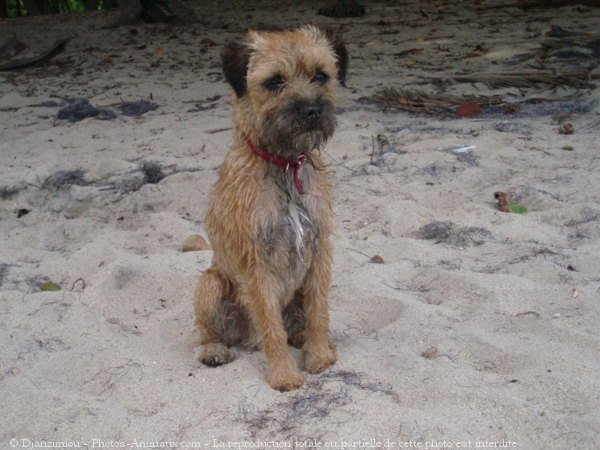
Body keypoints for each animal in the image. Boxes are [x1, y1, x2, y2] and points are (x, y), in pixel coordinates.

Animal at [192, 25, 346, 390]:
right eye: (274, 81)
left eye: (321, 76)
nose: (311, 110)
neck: (284, 167)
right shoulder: (257, 262)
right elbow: (272, 328)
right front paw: (283, 375)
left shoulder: (320, 250)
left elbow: (319, 311)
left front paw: (319, 356)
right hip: (210, 284)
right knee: (210, 332)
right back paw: (215, 350)